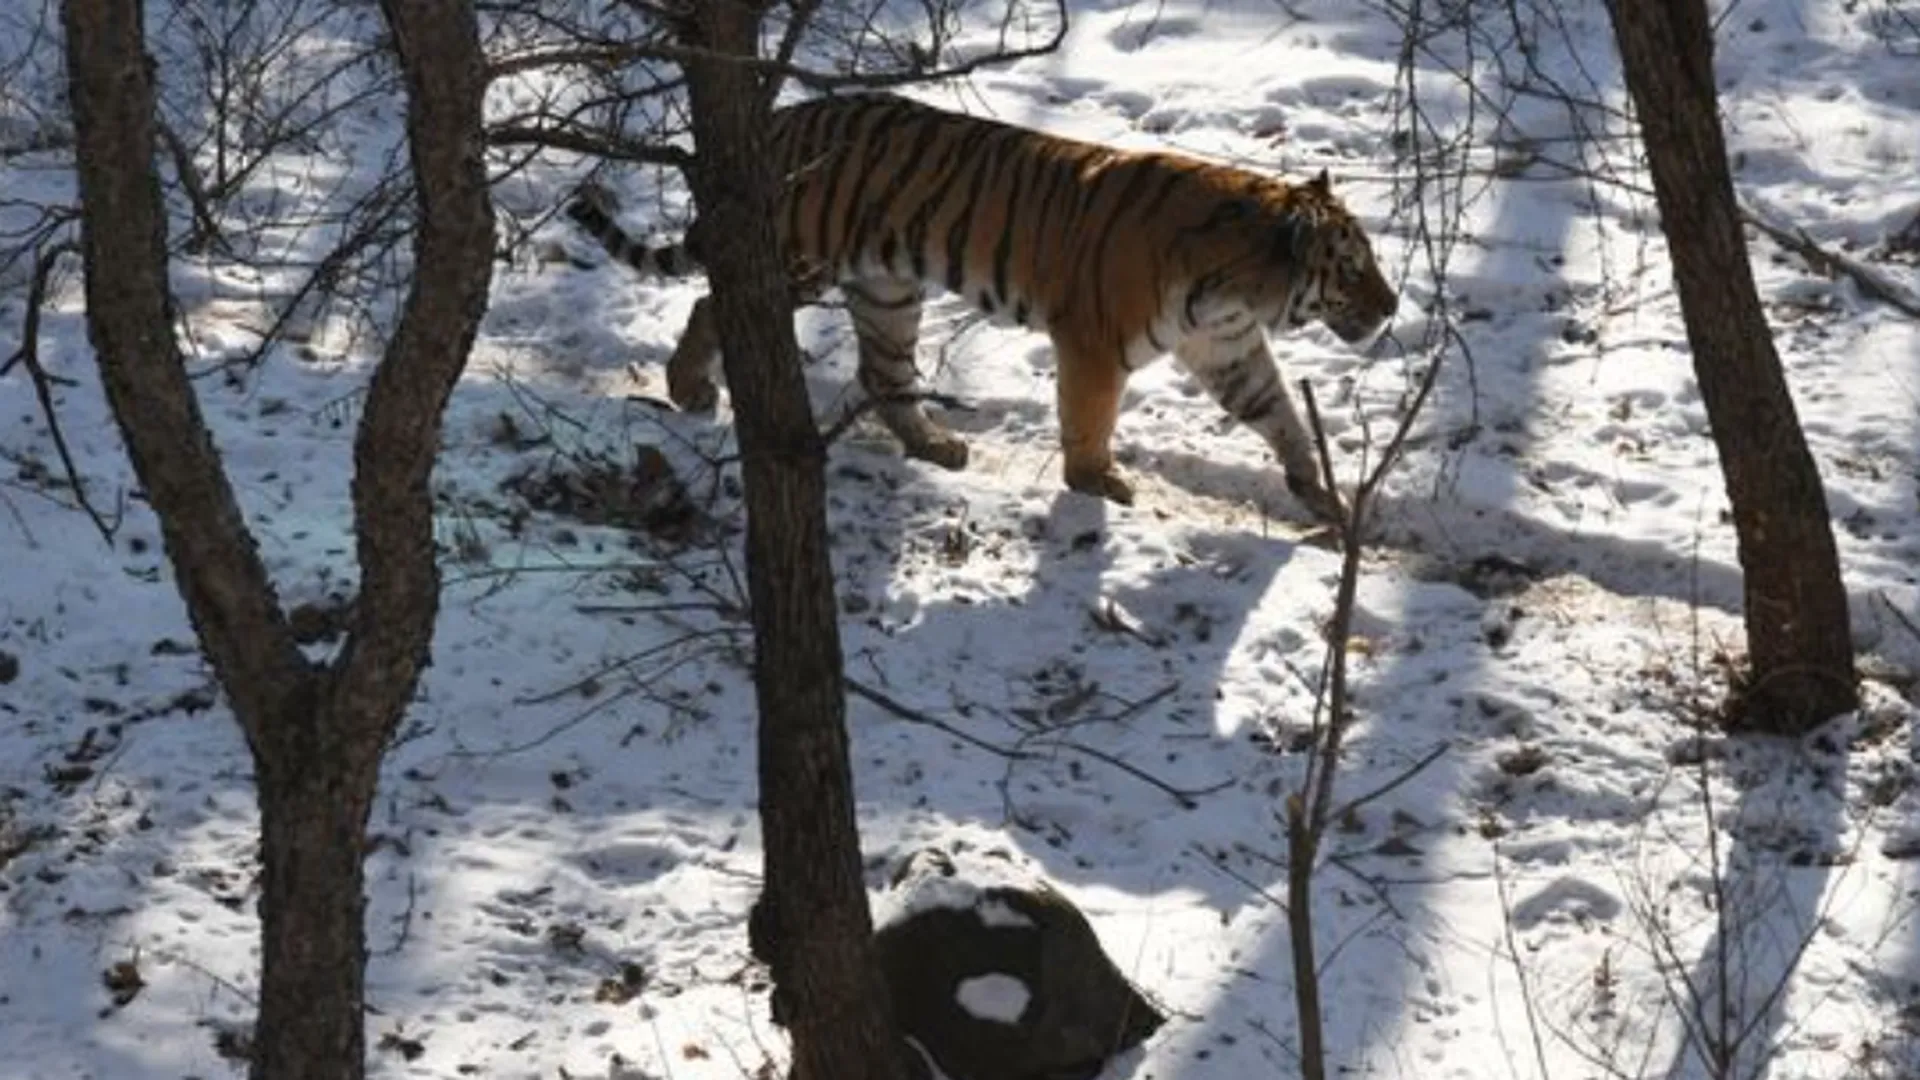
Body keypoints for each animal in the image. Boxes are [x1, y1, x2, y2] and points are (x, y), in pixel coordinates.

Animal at [564, 90, 1397, 518]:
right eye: (1354, 267)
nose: (1391, 308)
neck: (1243, 287)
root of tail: (778, 117)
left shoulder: (1226, 346)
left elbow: (1278, 411)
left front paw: (1316, 489)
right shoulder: (1094, 342)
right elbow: (1090, 418)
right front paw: (1095, 482)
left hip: (888, 291)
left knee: (882, 374)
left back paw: (934, 444)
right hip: (800, 262)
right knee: (712, 303)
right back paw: (689, 388)